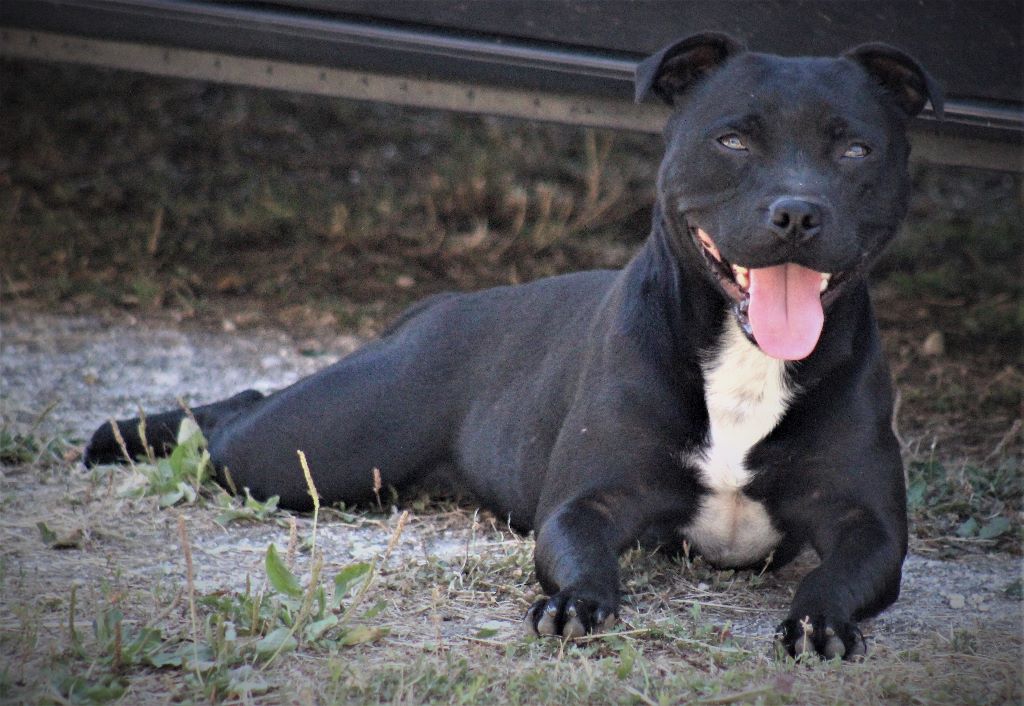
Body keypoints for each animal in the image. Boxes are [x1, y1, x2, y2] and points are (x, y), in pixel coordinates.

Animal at [88, 34, 942, 659]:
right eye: (733, 140)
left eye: (855, 151)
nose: (796, 212)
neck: (745, 357)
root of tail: (439, 305)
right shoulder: (585, 503)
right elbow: (584, 555)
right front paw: (573, 602)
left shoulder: (868, 527)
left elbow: (841, 574)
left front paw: (820, 620)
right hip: (304, 453)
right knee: (237, 415)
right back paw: (120, 435)